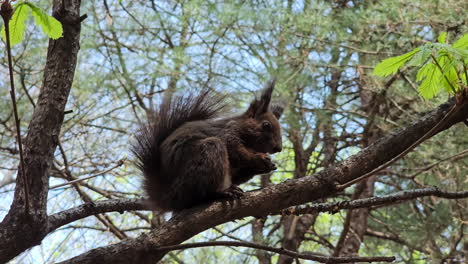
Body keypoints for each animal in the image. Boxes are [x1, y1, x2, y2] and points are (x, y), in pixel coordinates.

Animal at [133, 81, 286, 212]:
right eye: (266, 125)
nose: (278, 148)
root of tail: (168, 199)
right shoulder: (228, 133)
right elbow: (237, 152)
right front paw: (259, 159)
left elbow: (237, 173)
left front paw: (267, 166)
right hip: (206, 156)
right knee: (198, 195)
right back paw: (222, 193)